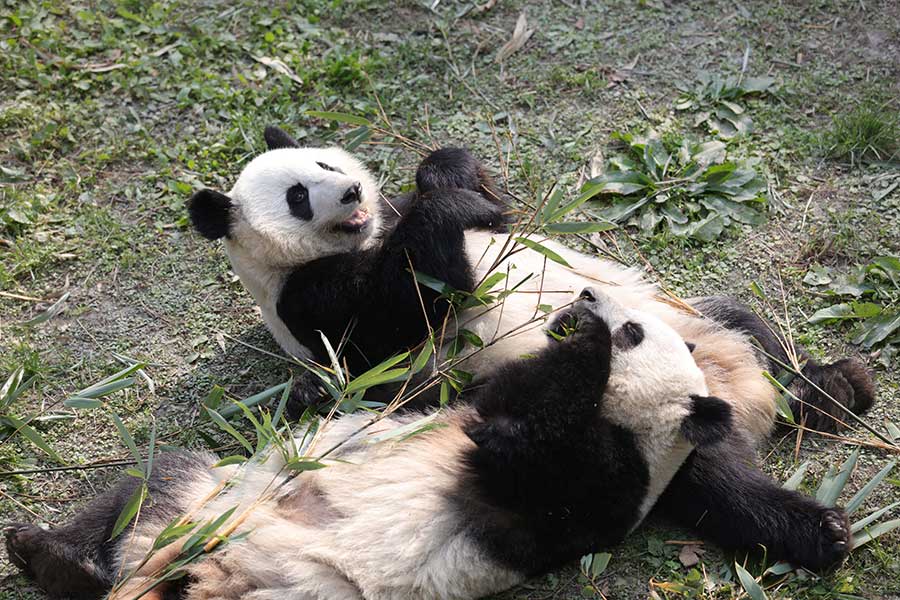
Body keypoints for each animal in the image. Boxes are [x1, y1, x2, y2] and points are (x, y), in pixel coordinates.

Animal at [6, 288, 736, 600]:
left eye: (636, 331)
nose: (583, 294)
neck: (637, 428)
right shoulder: (451, 397)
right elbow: (405, 386)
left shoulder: (600, 487)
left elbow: (521, 446)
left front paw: (584, 339)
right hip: (210, 495)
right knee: (149, 487)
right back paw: (48, 555)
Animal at [187, 127, 871, 570]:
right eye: (298, 197)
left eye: (325, 167)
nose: (353, 190)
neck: (363, 237)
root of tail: (745, 404)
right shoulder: (311, 302)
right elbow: (403, 310)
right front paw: (444, 209)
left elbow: (492, 214)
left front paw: (448, 174)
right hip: (643, 433)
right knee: (716, 484)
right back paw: (822, 531)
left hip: (692, 320)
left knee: (751, 328)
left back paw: (832, 391)